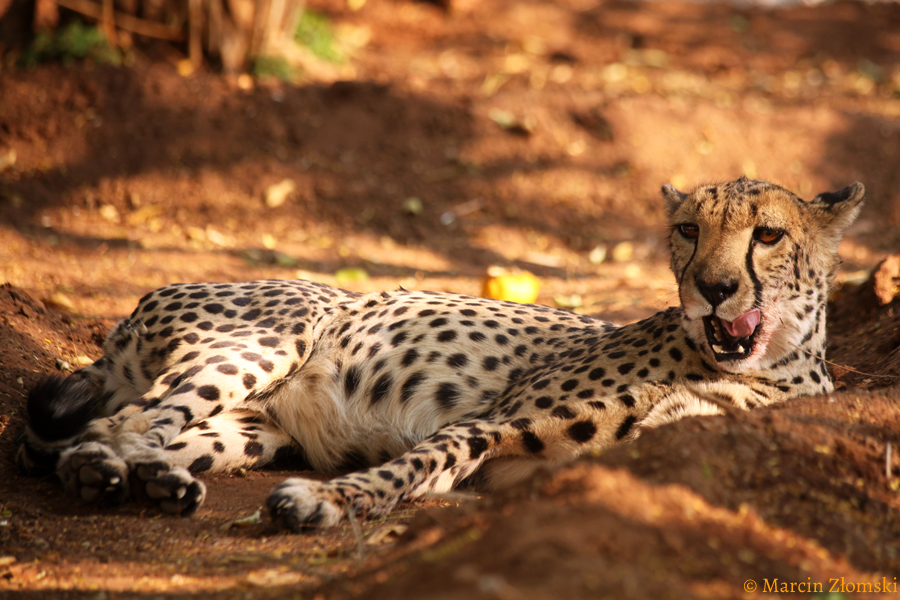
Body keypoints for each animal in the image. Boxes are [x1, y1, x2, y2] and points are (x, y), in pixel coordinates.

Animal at [17, 177, 864, 528]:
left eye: (768, 235)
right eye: (689, 230)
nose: (714, 289)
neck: (764, 365)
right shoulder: (491, 422)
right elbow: (420, 461)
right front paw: (326, 503)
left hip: (259, 427)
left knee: (135, 437)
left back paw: (151, 481)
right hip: (276, 334)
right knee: (118, 424)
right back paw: (102, 469)